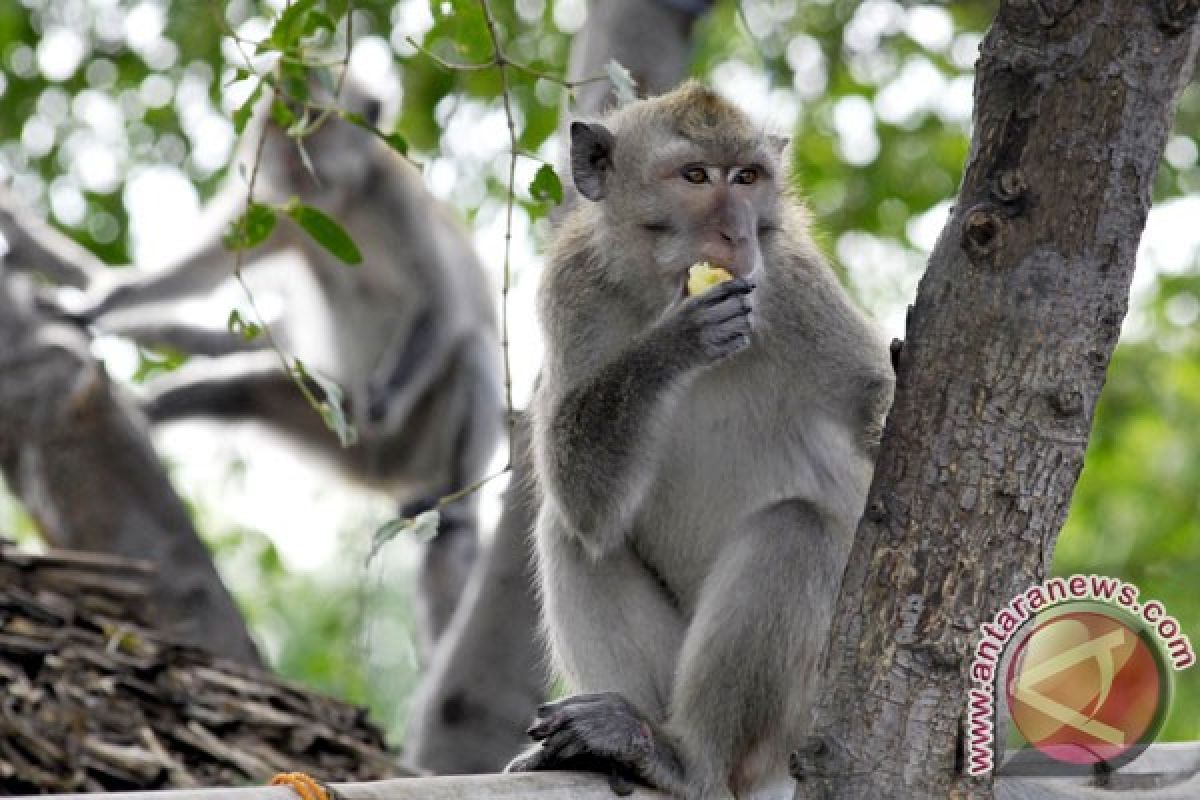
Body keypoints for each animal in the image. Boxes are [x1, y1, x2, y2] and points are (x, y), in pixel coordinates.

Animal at [69, 79, 501, 657]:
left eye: (314, 116)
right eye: (279, 119)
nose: (288, 148)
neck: (339, 203)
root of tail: (386, 470)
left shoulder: (395, 195)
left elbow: (444, 305)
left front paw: (384, 402)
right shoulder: (282, 210)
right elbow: (199, 274)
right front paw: (99, 305)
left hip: (417, 438)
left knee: (473, 350)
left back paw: (453, 508)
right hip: (332, 426)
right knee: (243, 395)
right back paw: (154, 410)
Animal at [504, 82, 892, 800]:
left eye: (747, 178)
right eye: (694, 176)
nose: (736, 233)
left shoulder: (798, 289)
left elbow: (877, 405)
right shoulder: (569, 289)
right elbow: (582, 499)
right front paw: (673, 341)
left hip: (803, 717)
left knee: (796, 531)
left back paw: (691, 758)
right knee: (569, 532)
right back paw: (624, 739)